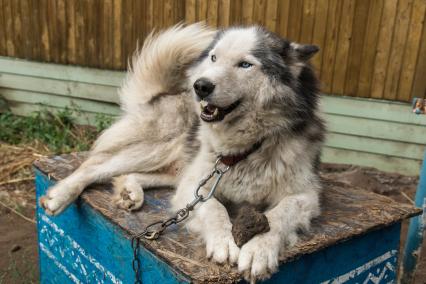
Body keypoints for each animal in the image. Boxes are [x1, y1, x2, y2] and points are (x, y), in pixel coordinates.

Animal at [40, 23, 326, 280]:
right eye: (213, 58)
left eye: (245, 64)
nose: (201, 86)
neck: (244, 150)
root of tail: (165, 94)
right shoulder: (197, 185)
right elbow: (214, 207)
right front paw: (224, 241)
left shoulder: (305, 195)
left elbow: (279, 214)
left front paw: (259, 250)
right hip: (159, 149)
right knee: (95, 165)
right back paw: (59, 196)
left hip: (177, 165)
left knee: (131, 174)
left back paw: (130, 191)